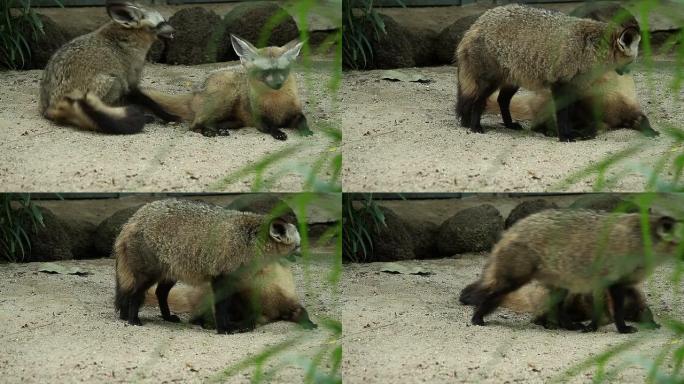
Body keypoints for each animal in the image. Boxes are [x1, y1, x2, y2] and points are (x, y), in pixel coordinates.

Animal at [39, 0, 179, 135]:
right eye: (161, 23)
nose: (174, 31)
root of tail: (52, 106)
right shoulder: (130, 83)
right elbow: (150, 102)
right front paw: (168, 116)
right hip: (113, 81)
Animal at [113, 200, 314, 334]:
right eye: (298, 245)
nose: (305, 254)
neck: (249, 241)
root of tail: (133, 219)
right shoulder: (221, 278)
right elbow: (221, 308)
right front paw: (223, 328)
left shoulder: (235, 281)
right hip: (149, 275)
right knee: (135, 294)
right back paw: (133, 319)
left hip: (170, 274)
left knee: (157, 293)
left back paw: (162, 316)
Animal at [142, 35, 312, 140]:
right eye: (265, 72)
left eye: (282, 70)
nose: (277, 84)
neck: (277, 104)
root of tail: (196, 91)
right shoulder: (259, 119)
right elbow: (271, 127)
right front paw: (279, 133)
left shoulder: (296, 112)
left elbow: (302, 121)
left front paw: (307, 132)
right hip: (226, 97)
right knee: (194, 125)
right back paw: (208, 132)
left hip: (236, 120)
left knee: (210, 123)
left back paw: (218, 130)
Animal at [456, 3, 644, 142]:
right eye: (632, 61)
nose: (628, 73)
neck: (591, 49)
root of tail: (476, 23)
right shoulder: (560, 84)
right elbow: (562, 115)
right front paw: (564, 136)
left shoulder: (574, 88)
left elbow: (570, 114)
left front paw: (572, 132)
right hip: (491, 83)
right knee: (477, 101)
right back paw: (475, 126)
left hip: (512, 82)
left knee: (501, 100)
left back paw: (507, 124)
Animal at [460, 210, 680, 332]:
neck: (640, 237)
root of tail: (510, 232)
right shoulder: (613, 282)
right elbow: (615, 311)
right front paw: (622, 329)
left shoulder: (611, 283)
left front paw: (591, 327)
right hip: (515, 280)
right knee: (490, 295)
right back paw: (477, 317)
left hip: (559, 285)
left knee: (557, 309)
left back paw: (570, 325)